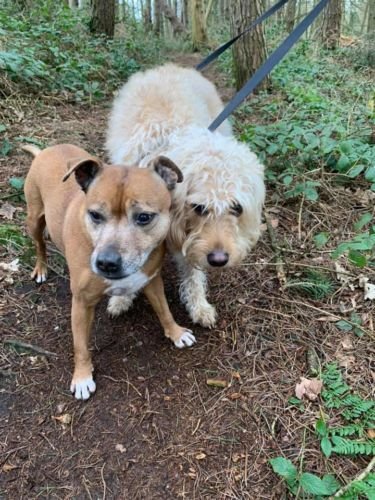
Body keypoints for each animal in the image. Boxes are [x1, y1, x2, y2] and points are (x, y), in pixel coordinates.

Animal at [23, 144, 197, 398]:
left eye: (144, 217)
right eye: (95, 215)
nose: (107, 262)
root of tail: (48, 149)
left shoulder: (152, 280)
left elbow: (164, 310)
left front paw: (175, 332)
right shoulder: (81, 304)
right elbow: (80, 345)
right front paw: (82, 376)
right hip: (34, 217)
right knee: (39, 244)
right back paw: (41, 267)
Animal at [104, 63, 266, 328]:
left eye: (236, 208)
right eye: (199, 207)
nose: (219, 260)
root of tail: (172, 67)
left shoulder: (189, 239)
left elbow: (192, 271)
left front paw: (199, 305)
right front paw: (121, 298)